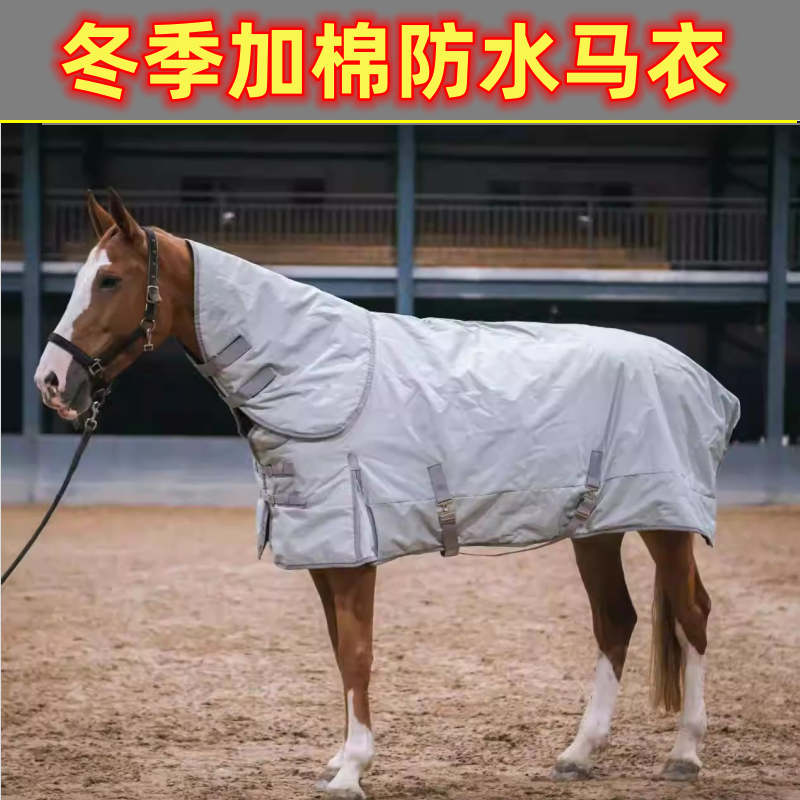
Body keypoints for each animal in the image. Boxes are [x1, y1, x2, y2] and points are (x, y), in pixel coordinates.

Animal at [34, 190, 733, 799]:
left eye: (109, 281)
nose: (51, 381)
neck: (314, 371)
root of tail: (701, 379)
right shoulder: (324, 552)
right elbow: (338, 651)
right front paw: (340, 758)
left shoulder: (352, 553)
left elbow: (356, 652)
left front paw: (352, 771)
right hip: (598, 528)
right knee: (615, 620)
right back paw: (579, 754)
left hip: (665, 524)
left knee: (692, 614)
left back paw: (684, 755)